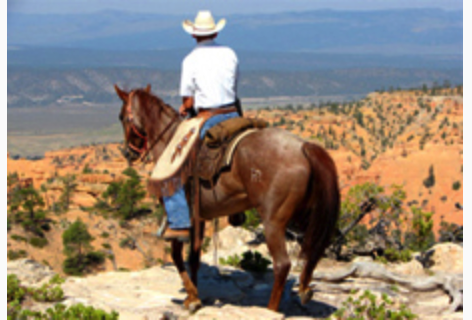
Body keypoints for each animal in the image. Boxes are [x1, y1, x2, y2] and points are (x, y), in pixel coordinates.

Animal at [114, 84, 340, 312]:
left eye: (122, 117)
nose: (128, 153)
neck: (169, 142)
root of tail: (303, 147)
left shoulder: (179, 219)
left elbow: (177, 256)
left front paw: (192, 298)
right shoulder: (199, 218)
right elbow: (194, 257)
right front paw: (194, 294)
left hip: (273, 221)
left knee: (282, 264)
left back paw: (270, 310)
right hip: (305, 217)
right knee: (312, 250)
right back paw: (304, 290)